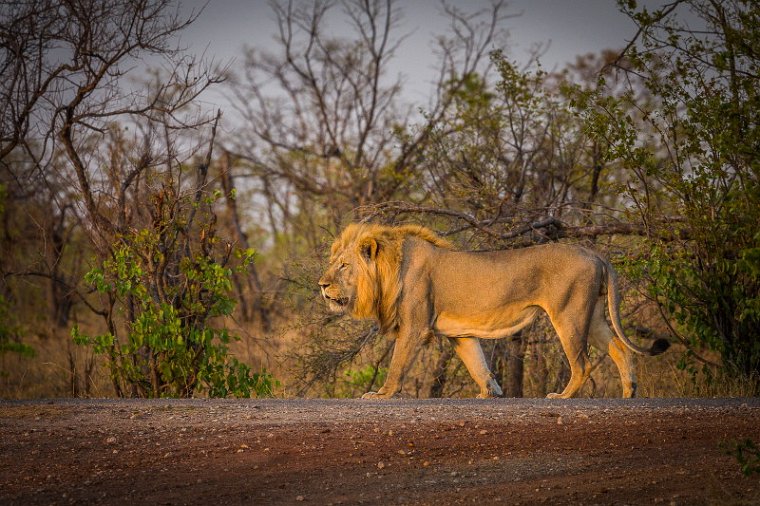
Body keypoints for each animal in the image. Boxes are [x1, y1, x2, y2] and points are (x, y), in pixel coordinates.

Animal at [318, 221, 668, 400]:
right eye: (333, 263)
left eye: (344, 266)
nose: (321, 284)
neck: (390, 271)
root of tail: (594, 253)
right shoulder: (460, 334)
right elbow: (478, 365)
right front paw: (490, 394)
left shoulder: (415, 326)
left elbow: (397, 364)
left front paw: (381, 394)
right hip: (592, 314)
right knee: (620, 347)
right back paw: (629, 392)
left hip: (568, 314)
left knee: (582, 364)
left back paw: (562, 397)